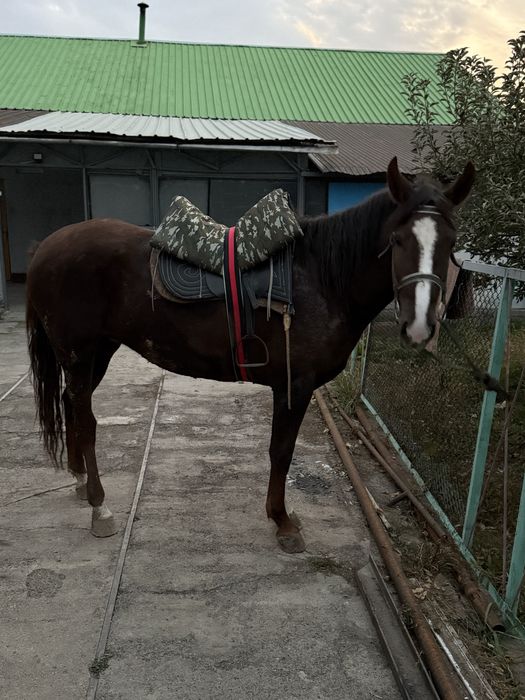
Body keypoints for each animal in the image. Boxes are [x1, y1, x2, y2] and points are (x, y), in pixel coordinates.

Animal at [26, 157, 474, 553]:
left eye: (451, 243)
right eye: (398, 240)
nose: (420, 326)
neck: (323, 279)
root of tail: (47, 247)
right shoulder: (294, 386)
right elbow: (282, 452)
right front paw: (283, 522)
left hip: (96, 353)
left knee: (71, 406)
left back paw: (80, 482)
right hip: (79, 354)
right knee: (86, 421)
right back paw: (99, 507)